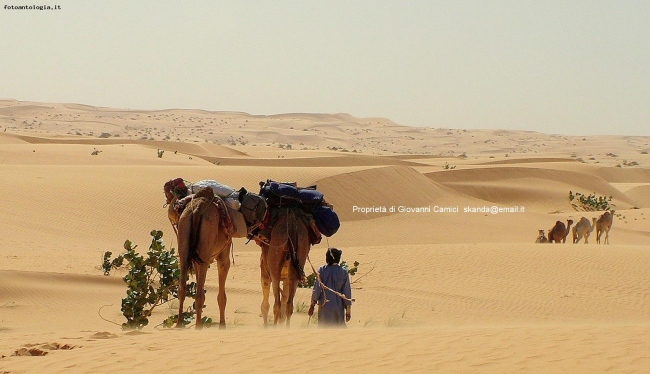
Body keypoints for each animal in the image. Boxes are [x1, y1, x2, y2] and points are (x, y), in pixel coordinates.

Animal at [173, 187, 232, 328]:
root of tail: (197, 209)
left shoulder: (195, 259)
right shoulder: (223, 256)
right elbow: (222, 296)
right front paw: (222, 325)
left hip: (184, 239)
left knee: (183, 288)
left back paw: (179, 324)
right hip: (206, 249)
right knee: (199, 294)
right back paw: (198, 327)